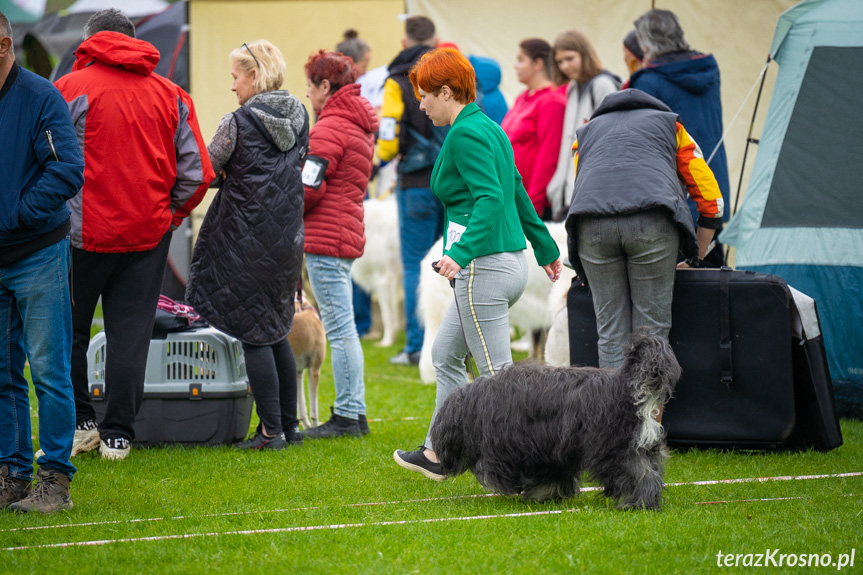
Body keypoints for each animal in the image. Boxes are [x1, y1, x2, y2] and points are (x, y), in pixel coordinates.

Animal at [286, 300, 328, 430]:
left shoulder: (297, 372)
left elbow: (301, 406)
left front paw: (306, 426)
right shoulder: (314, 370)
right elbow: (314, 410)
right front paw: (315, 427)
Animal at [430, 326, 680, 510]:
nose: (442, 462)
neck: (476, 406)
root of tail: (626, 383)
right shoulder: (550, 448)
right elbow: (553, 476)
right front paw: (546, 496)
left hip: (613, 447)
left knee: (640, 474)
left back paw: (638, 503)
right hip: (644, 444)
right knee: (651, 470)